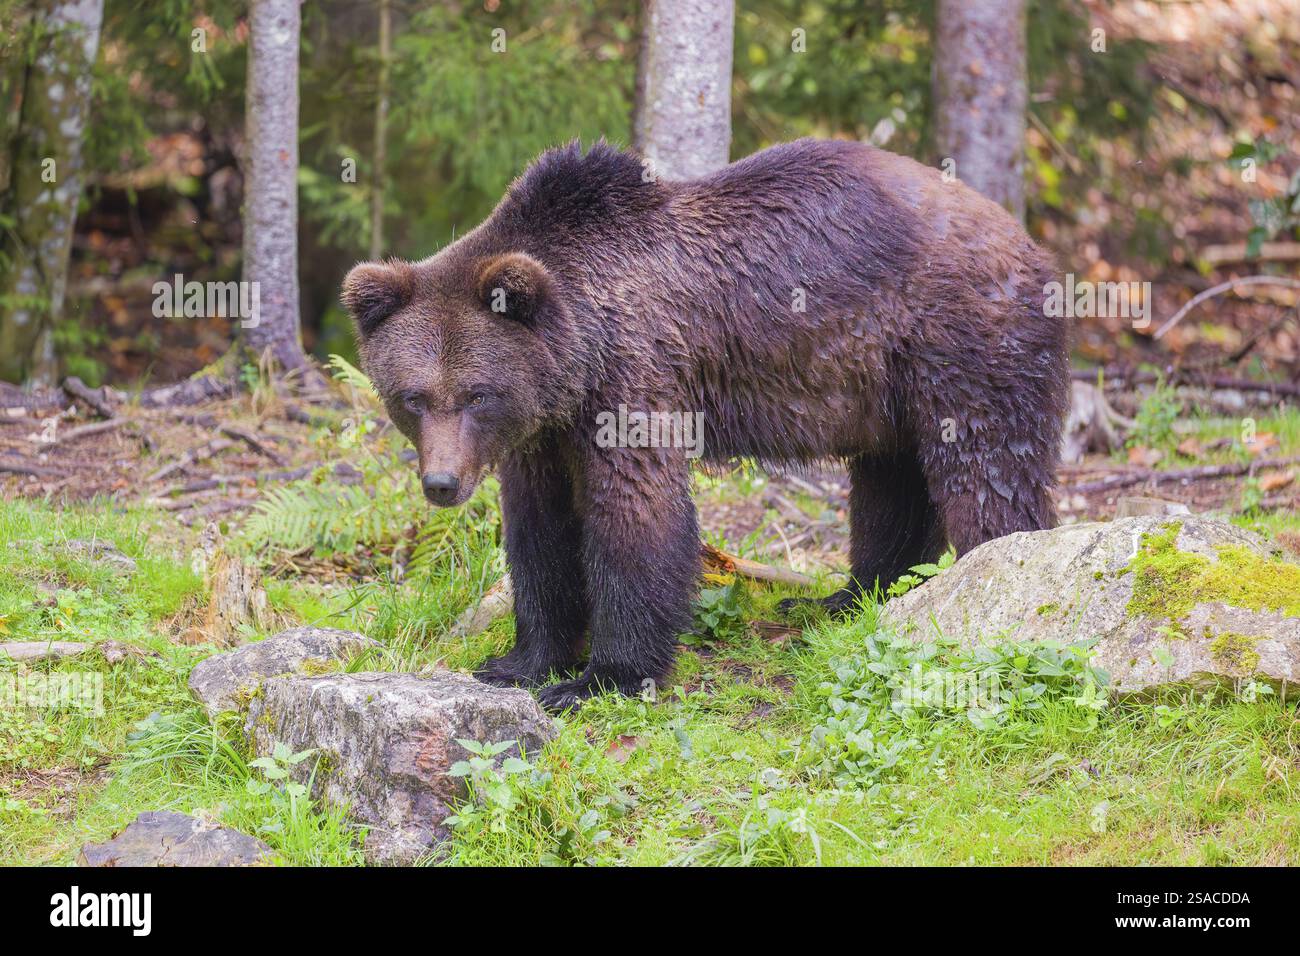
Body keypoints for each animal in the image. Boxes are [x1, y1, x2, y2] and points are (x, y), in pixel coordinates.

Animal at [342, 138, 1069, 710]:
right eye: (413, 397)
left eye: (476, 394)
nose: (441, 483)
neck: (578, 351)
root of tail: (1028, 240)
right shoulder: (541, 430)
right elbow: (537, 531)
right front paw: (519, 662)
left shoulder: (634, 374)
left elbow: (636, 512)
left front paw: (602, 676)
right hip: (885, 386)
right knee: (890, 484)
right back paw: (844, 597)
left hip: (957, 340)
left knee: (986, 472)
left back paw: (993, 572)